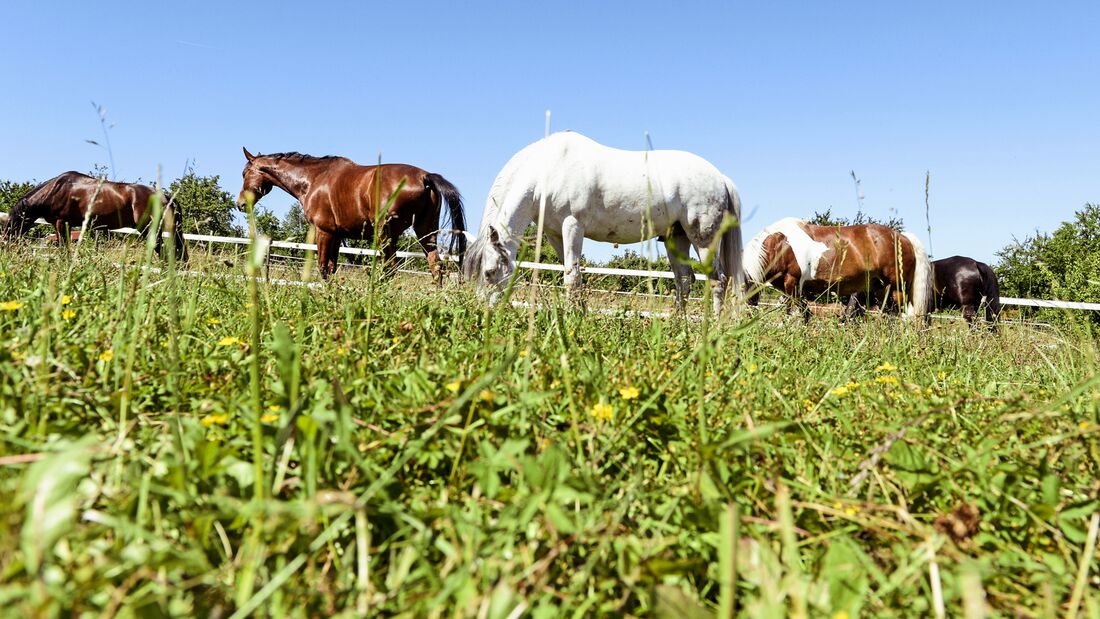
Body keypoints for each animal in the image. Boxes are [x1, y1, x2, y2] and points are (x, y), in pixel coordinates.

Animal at [4, 169, 184, 259]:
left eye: (13, 223)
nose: (6, 244)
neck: (55, 190)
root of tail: (165, 196)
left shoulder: (61, 223)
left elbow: (63, 249)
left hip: (150, 229)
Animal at [236, 146, 464, 281]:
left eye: (245, 173)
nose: (240, 204)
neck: (313, 179)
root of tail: (425, 177)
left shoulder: (324, 232)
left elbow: (324, 268)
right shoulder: (337, 235)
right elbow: (331, 267)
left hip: (386, 234)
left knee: (391, 268)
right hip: (426, 232)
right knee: (435, 267)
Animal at [459, 131, 743, 314]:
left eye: (489, 272)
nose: (480, 313)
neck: (547, 171)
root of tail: (721, 178)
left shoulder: (573, 226)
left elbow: (571, 277)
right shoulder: (555, 234)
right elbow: (573, 274)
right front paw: (580, 315)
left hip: (703, 239)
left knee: (718, 280)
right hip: (676, 238)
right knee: (684, 280)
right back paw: (677, 325)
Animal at [743, 217, 932, 323]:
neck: (780, 244)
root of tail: (903, 237)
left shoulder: (792, 282)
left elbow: (795, 314)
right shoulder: (789, 289)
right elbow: (803, 314)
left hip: (898, 289)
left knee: (902, 316)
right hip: (882, 290)